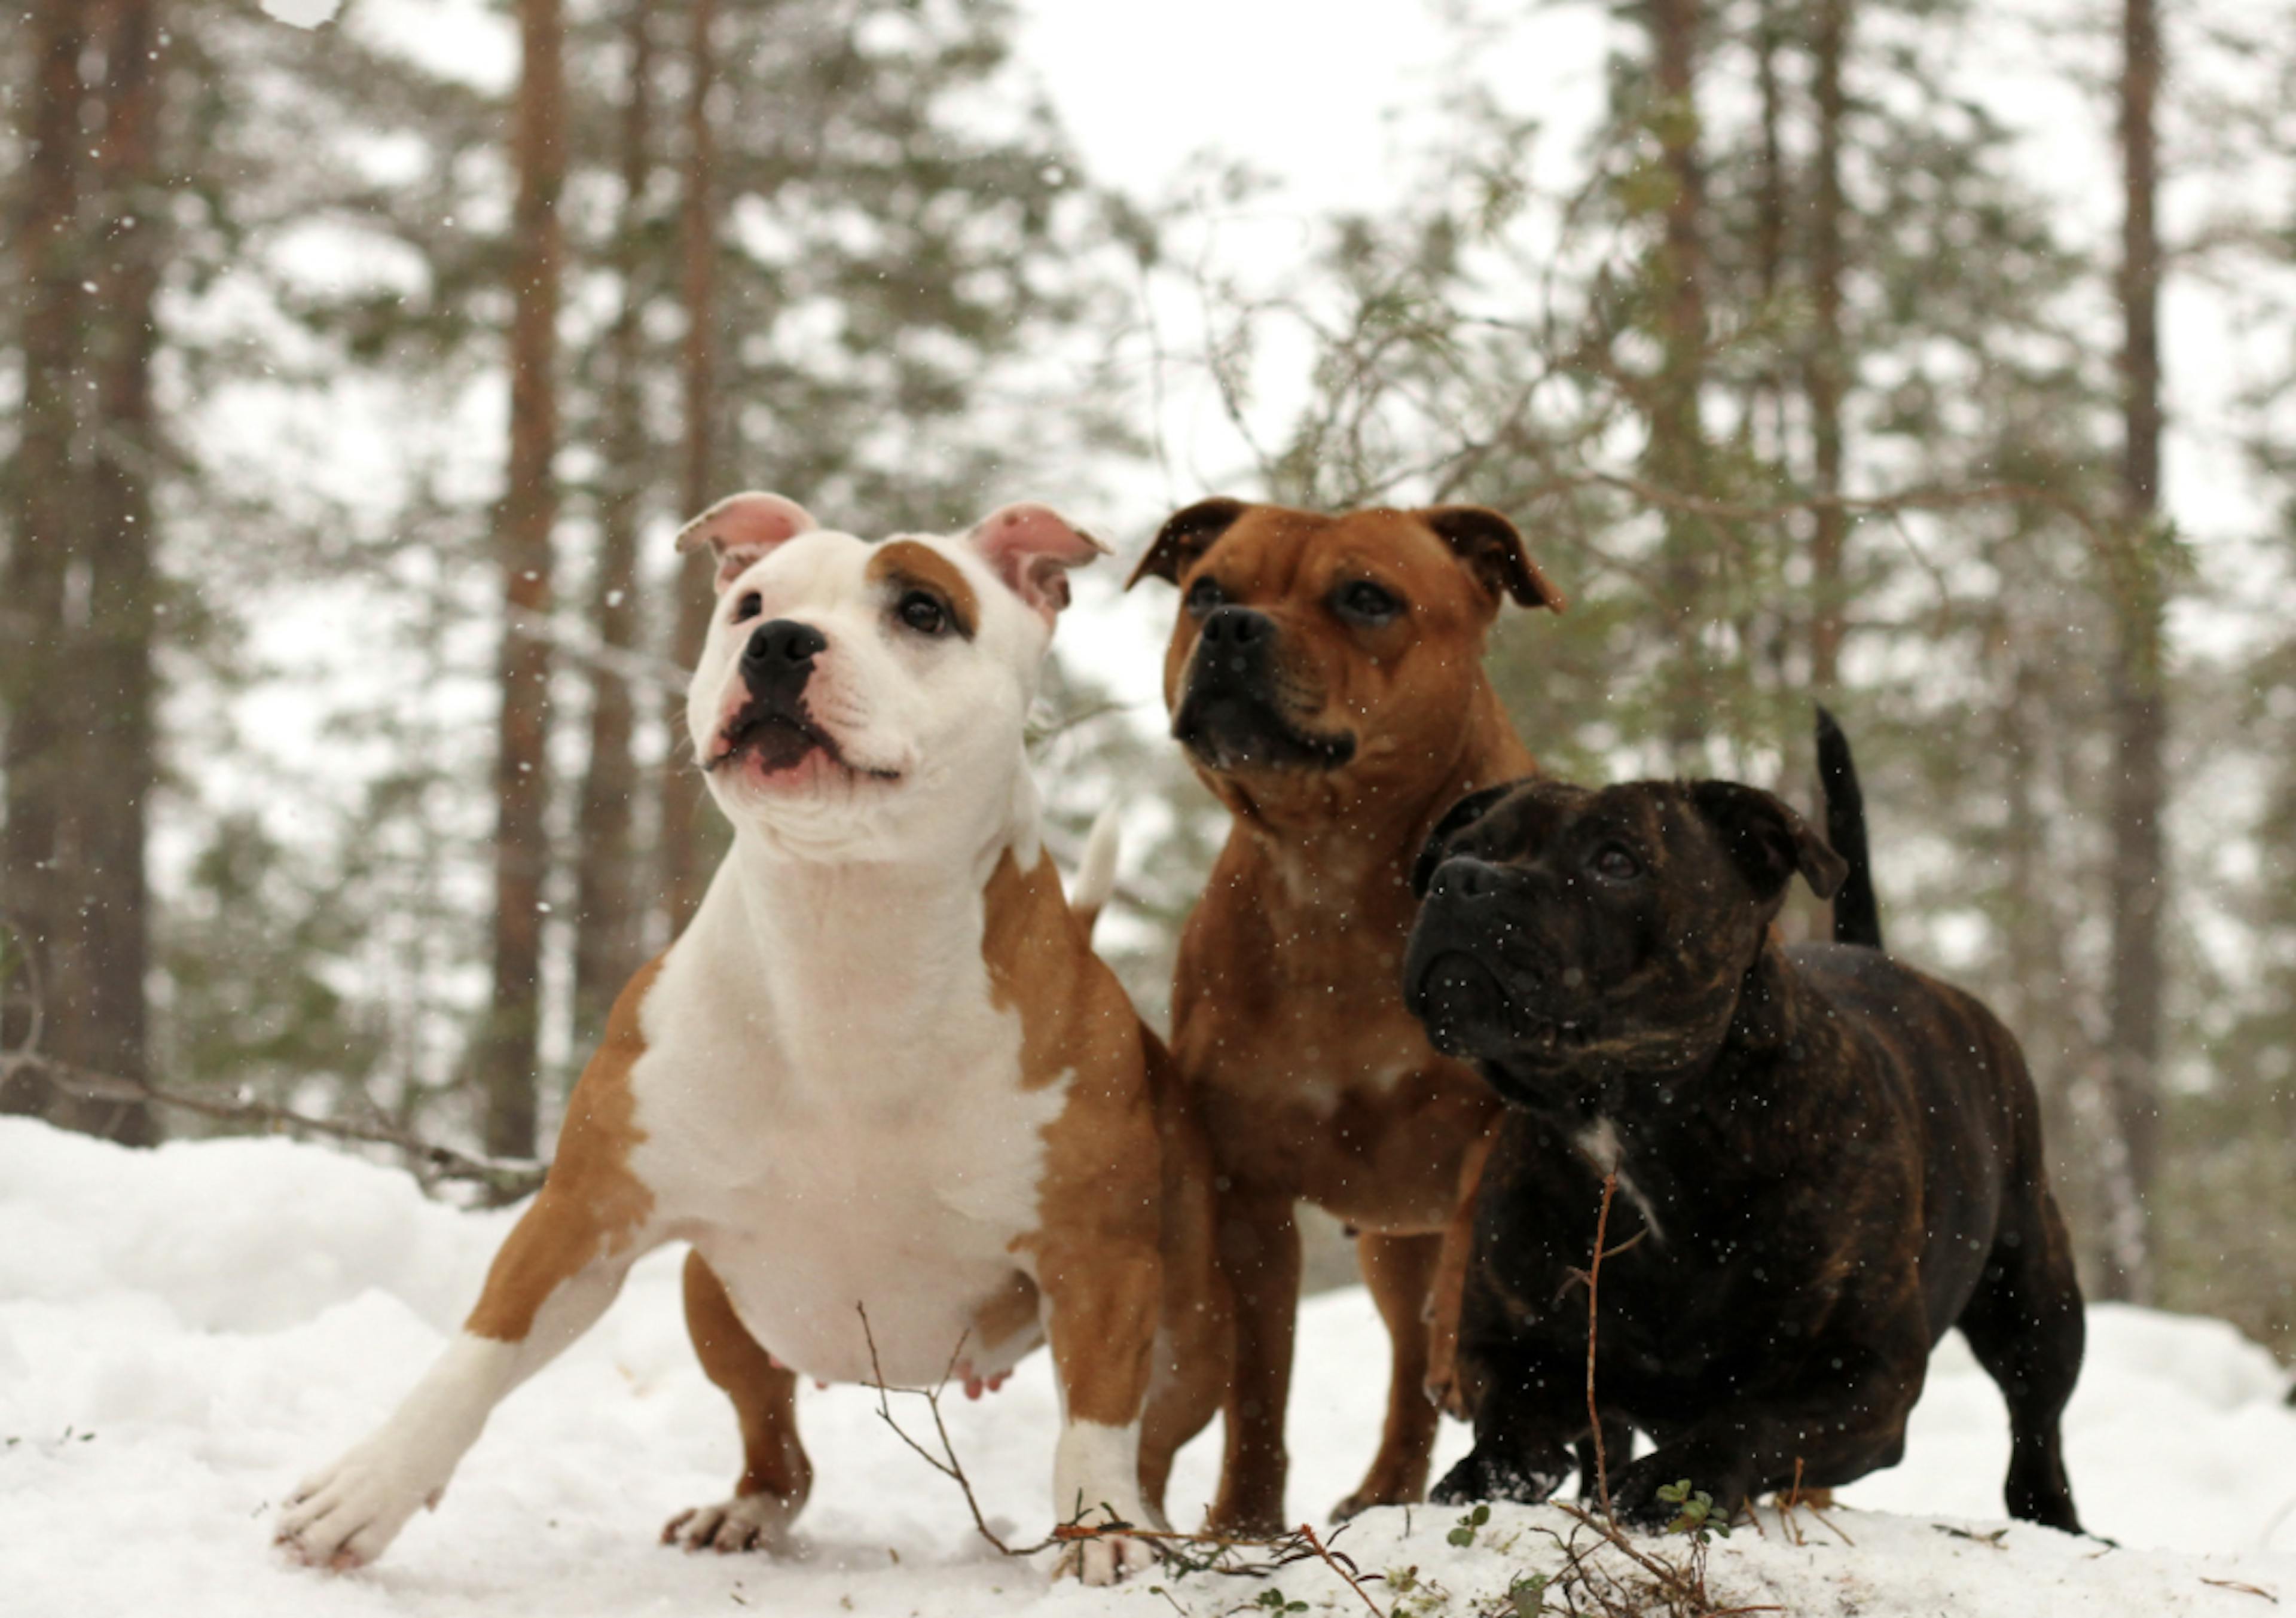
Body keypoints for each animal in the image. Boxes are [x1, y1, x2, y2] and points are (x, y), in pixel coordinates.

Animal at [277, 491, 1231, 1579]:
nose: (779, 643)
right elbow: (476, 1354)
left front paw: (1104, 1535)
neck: (843, 934)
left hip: (1196, 1330)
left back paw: (1148, 1521)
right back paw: (743, 1512)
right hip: (715, 1300)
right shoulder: (582, 1216)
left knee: (1150, 1436)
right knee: (775, 1442)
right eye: (749, 604)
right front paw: (367, 1489)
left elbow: (1098, 1420)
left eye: (924, 610)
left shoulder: (1098, 1257)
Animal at [1125, 502, 1561, 1524]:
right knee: (1404, 1378)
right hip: (1390, 1249)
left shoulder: (1511, 1111)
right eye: (1206, 588)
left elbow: (1482, 1211)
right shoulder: (1247, 1190)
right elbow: (1258, 1383)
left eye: (1367, 597)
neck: (1336, 870)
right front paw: (1244, 1524)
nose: (1232, 627)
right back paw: (1386, 1494)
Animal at [1405, 716, 2094, 1524]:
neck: (1633, 1117)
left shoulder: (1864, 1376)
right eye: (1462, 846)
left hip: (2034, 1294)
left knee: (2036, 1418)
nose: (1462, 880)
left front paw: (1681, 1481)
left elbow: (1756, 1420)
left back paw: (2053, 1517)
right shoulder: (1510, 1345)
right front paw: (1493, 1471)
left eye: (1616, 861)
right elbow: (1513, 1411)